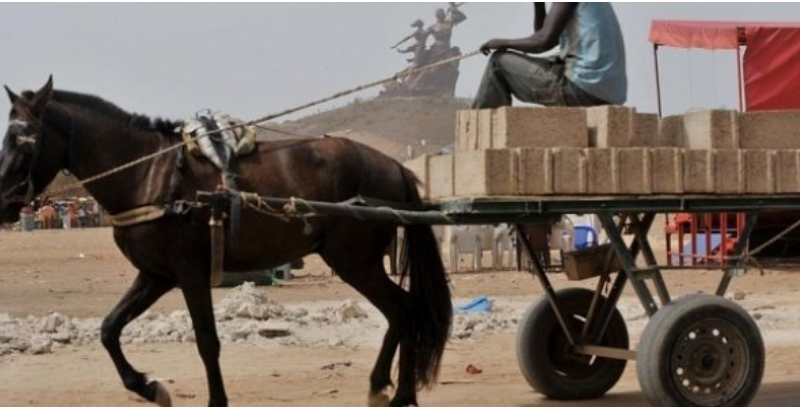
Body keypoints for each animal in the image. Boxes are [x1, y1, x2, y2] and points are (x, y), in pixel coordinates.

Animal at [0, 76, 450, 406]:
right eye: (8, 136)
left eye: (25, 139)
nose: (4, 202)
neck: (148, 175)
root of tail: (392, 165)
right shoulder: (155, 275)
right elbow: (110, 328)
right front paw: (147, 386)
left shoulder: (190, 273)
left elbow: (206, 341)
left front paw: (213, 398)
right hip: (357, 262)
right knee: (400, 312)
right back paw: (381, 384)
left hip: (355, 260)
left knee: (403, 309)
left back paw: (401, 394)